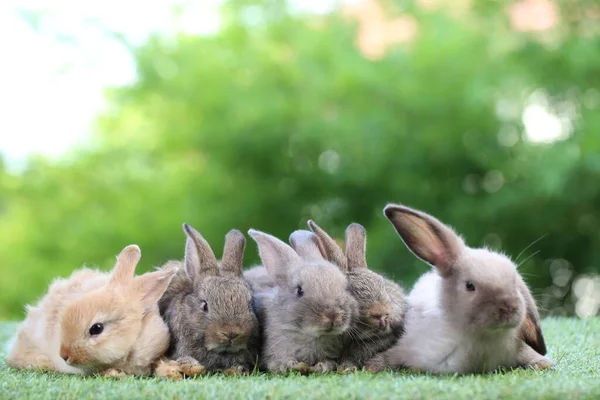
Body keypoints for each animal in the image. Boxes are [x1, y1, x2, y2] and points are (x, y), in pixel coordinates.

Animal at [364, 205, 552, 374]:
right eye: (470, 286)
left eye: (514, 282)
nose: (508, 308)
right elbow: (391, 356)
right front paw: (372, 366)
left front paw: (545, 364)